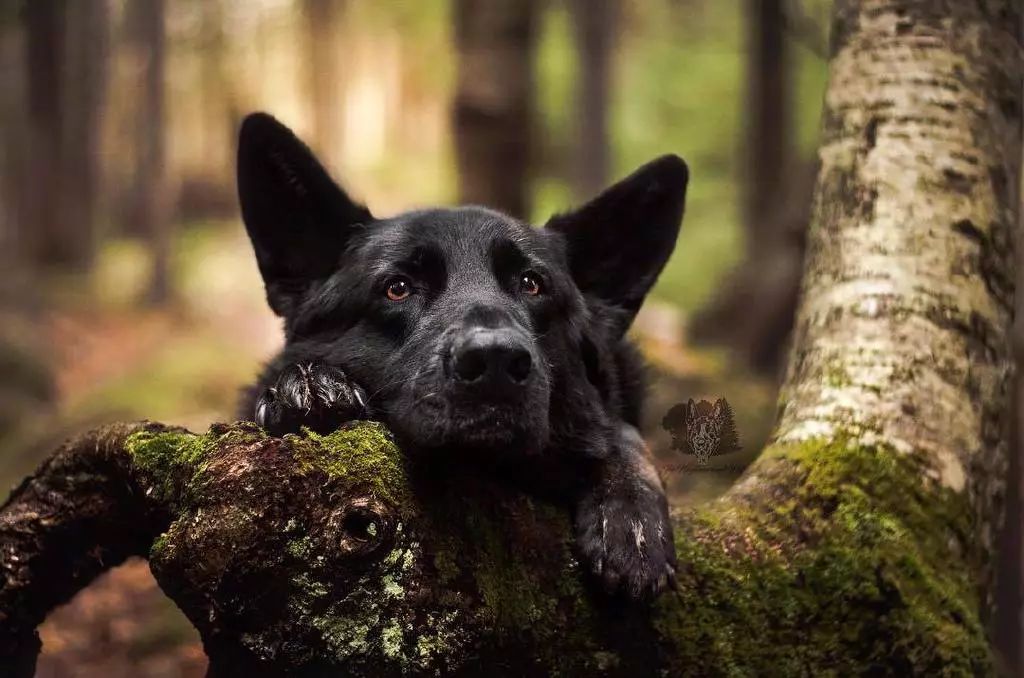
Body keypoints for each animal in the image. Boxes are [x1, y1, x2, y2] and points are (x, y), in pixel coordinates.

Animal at [236, 112, 692, 602]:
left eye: (532, 283)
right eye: (398, 288)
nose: (495, 362)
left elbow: (623, 432)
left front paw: (631, 514)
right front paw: (306, 387)